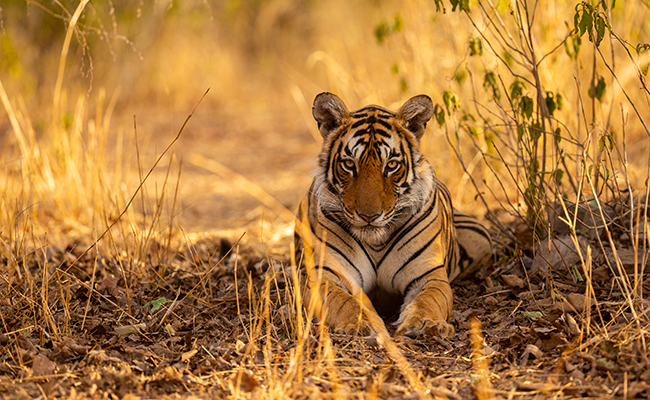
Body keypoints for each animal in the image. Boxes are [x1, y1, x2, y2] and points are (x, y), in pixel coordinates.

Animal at [294, 92, 492, 336]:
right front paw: (363, 324)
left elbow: (428, 300)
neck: (376, 242)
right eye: (349, 164)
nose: (369, 216)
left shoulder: (429, 276)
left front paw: (424, 323)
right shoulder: (327, 276)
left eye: (392, 165)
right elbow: (344, 302)